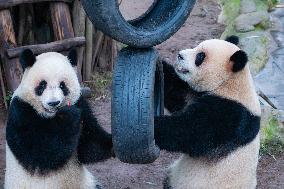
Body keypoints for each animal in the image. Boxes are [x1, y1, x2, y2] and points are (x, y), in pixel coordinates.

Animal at [4, 49, 113, 189]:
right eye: (42, 85)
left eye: (62, 85)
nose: (53, 103)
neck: (50, 117)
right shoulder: (21, 112)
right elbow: (40, 155)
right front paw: (68, 118)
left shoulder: (80, 103)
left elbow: (88, 146)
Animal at [155, 36, 262, 188]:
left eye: (200, 56)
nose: (180, 55)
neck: (230, 83)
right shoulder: (195, 93)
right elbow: (175, 90)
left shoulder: (230, 114)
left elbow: (188, 131)